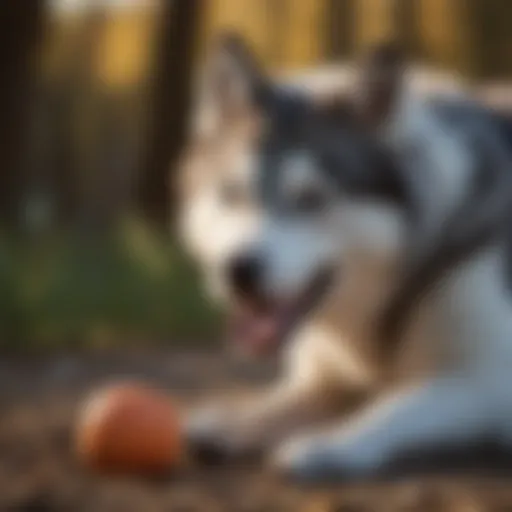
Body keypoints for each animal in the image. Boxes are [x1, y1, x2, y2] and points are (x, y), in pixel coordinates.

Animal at [179, 34, 512, 482]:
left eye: (312, 198)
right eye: (233, 193)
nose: (239, 271)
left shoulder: (492, 379)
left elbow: (396, 405)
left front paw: (335, 444)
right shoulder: (326, 378)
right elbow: (286, 399)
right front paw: (236, 421)